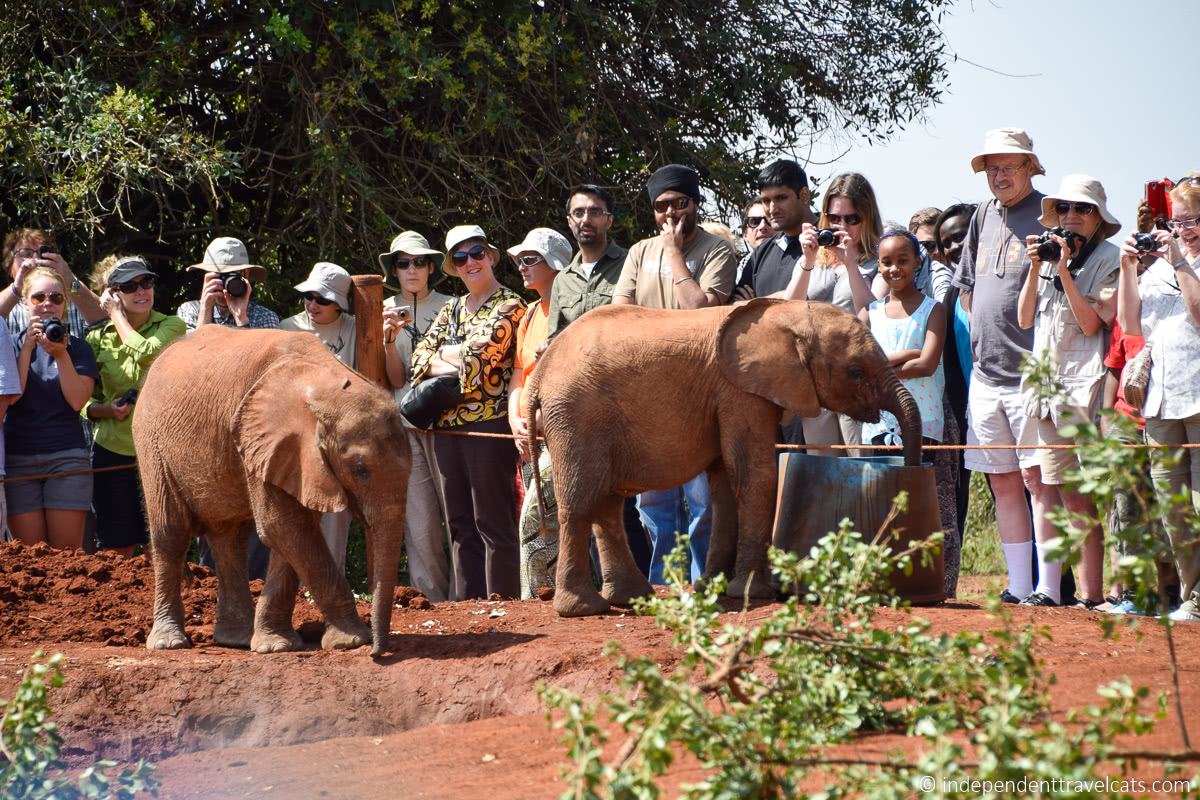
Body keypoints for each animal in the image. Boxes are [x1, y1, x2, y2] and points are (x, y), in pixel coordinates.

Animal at [134, 326, 410, 657]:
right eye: (360, 469)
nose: (377, 652)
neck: (324, 381)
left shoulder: (294, 456)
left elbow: (292, 532)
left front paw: (276, 646)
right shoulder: (265, 440)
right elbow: (284, 527)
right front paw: (351, 641)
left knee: (230, 539)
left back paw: (235, 639)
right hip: (151, 441)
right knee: (171, 533)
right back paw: (169, 643)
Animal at [523, 299, 916, 618]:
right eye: (855, 372)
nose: (912, 467)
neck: (784, 313)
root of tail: (539, 372)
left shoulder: (730, 396)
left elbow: (726, 484)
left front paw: (712, 587)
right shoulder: (740, 392)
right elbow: (754, 475)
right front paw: (754, 592)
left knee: (607, 504)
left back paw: (633, 598)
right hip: (577, 415)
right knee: (581, 501)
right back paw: (582, 609)